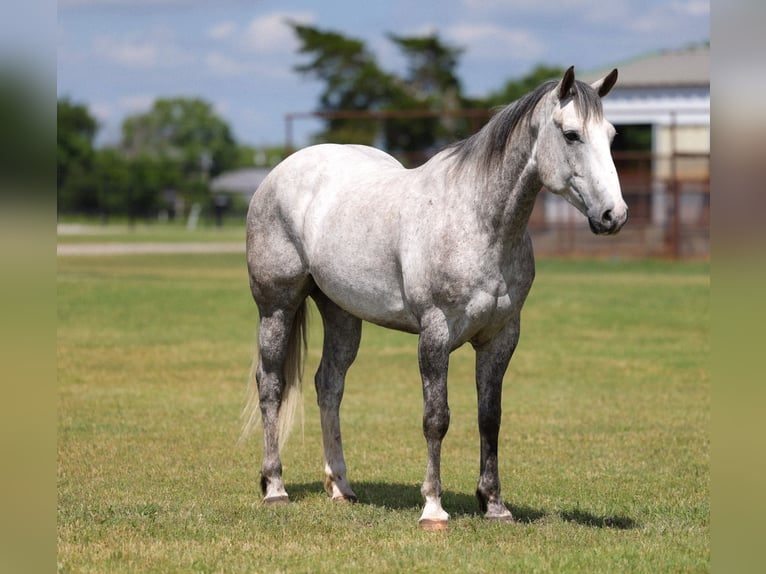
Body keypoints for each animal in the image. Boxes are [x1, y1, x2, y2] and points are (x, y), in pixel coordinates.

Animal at [241, 66, 627, 530]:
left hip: (342, 314)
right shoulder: (435, 334)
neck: (478, 220)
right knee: (271, 385)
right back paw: (275, 487)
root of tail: (278, 173)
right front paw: (433, 508)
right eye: (571, 135)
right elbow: (436, 418)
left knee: (329, 386)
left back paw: (341, 487)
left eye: (611, 135)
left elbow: (489, 418)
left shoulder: (500, 336)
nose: (614, 215)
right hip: (276, 306)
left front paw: (494, 504)